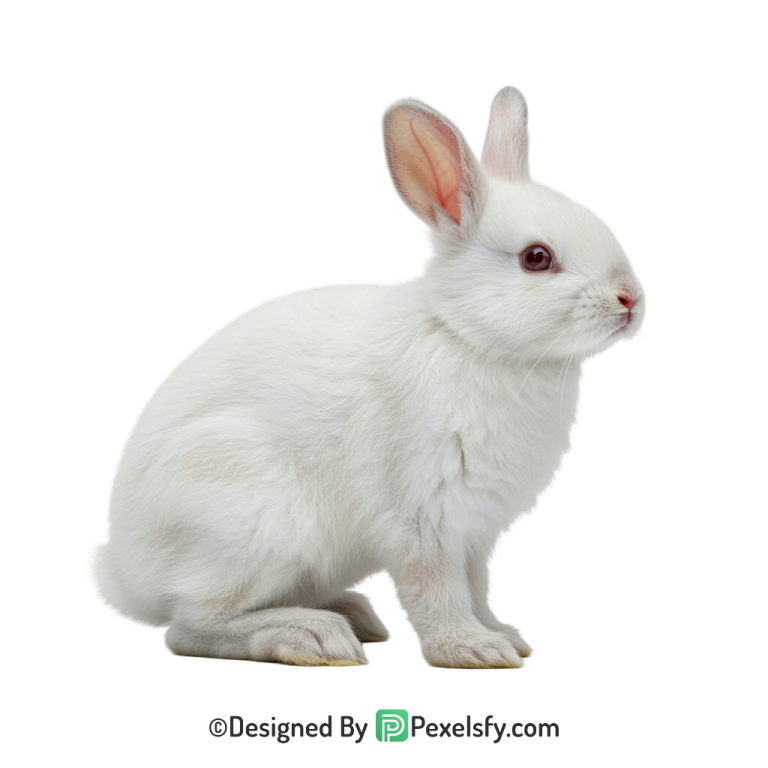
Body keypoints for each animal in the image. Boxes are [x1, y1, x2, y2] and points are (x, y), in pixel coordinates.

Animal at [84, 85, 646, 669]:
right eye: (537, 258)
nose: (630, 301)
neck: (467, 337)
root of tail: (124, 577)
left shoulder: (477, 535)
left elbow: (477, 591)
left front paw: (506, 637)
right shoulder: (424, 520)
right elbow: (436, 593)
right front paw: (472, 650)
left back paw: (355, 615)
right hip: (255, 519)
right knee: (189, 626)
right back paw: (312, 636)